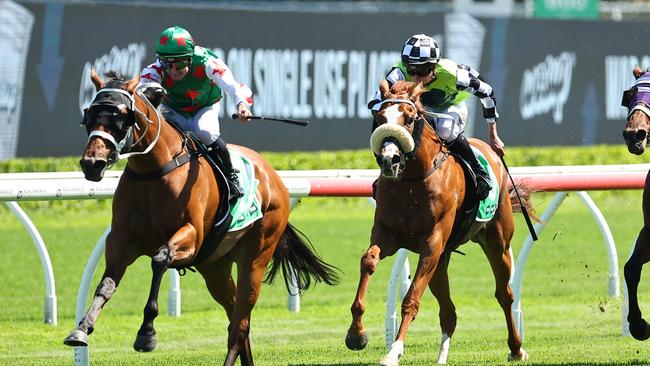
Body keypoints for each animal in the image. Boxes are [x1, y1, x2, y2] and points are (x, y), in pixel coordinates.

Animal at [64, 70, 340, 364]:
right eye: (89, 115)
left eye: (121, 116)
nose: (92, 164)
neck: (154, 170)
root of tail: (272, 176)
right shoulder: (121, 241)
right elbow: (106, 284)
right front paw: (81, 329)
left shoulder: (192, 237)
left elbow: (160, 259)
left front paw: (146, 333)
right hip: (215, 266)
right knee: (235, 316)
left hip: (256, 256)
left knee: (240, 322)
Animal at [342, 81, 528, 366]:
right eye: (379, 118)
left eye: (409, 119)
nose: (389, 160)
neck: (412, 181)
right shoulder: (387, 236)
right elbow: (368, 260)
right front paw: (356, 335)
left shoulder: (432, 243)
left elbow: (411, 299)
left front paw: (394, 351)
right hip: (442, 260)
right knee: (449, 312)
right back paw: (442, 356)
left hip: (497, 242)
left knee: (504, 294)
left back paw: (516, 348)